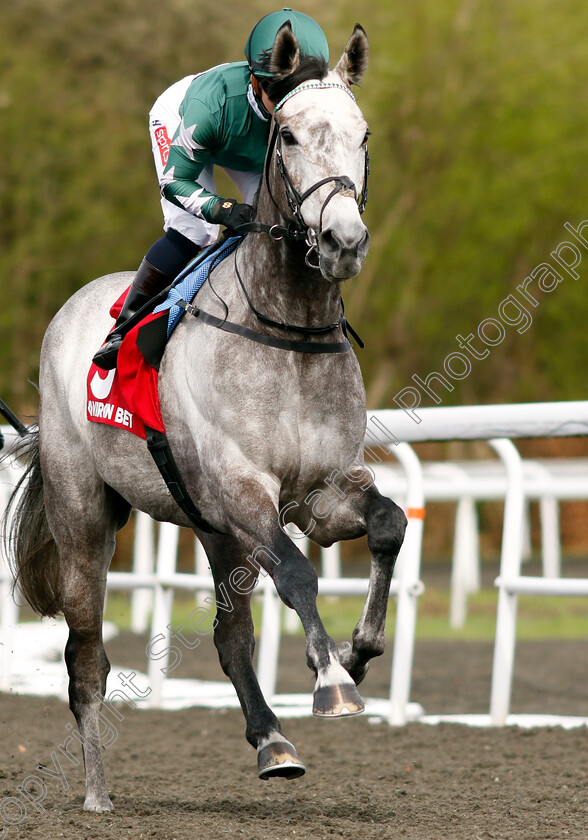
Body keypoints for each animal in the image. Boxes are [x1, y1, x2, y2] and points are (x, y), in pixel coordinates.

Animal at [6, 24, 406, 812]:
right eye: (287, 136)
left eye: (363, 134)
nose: (344, 241)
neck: (287, 331)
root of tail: (73, 308)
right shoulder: (242, 489)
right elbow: (299, 574)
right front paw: (333, 684)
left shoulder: (318, 493)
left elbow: (387, 524)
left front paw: (359, 652)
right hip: (85, 518)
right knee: (86, 656)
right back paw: (95, 793)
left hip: (212, 526)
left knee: (231, 635)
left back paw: (273, 742)